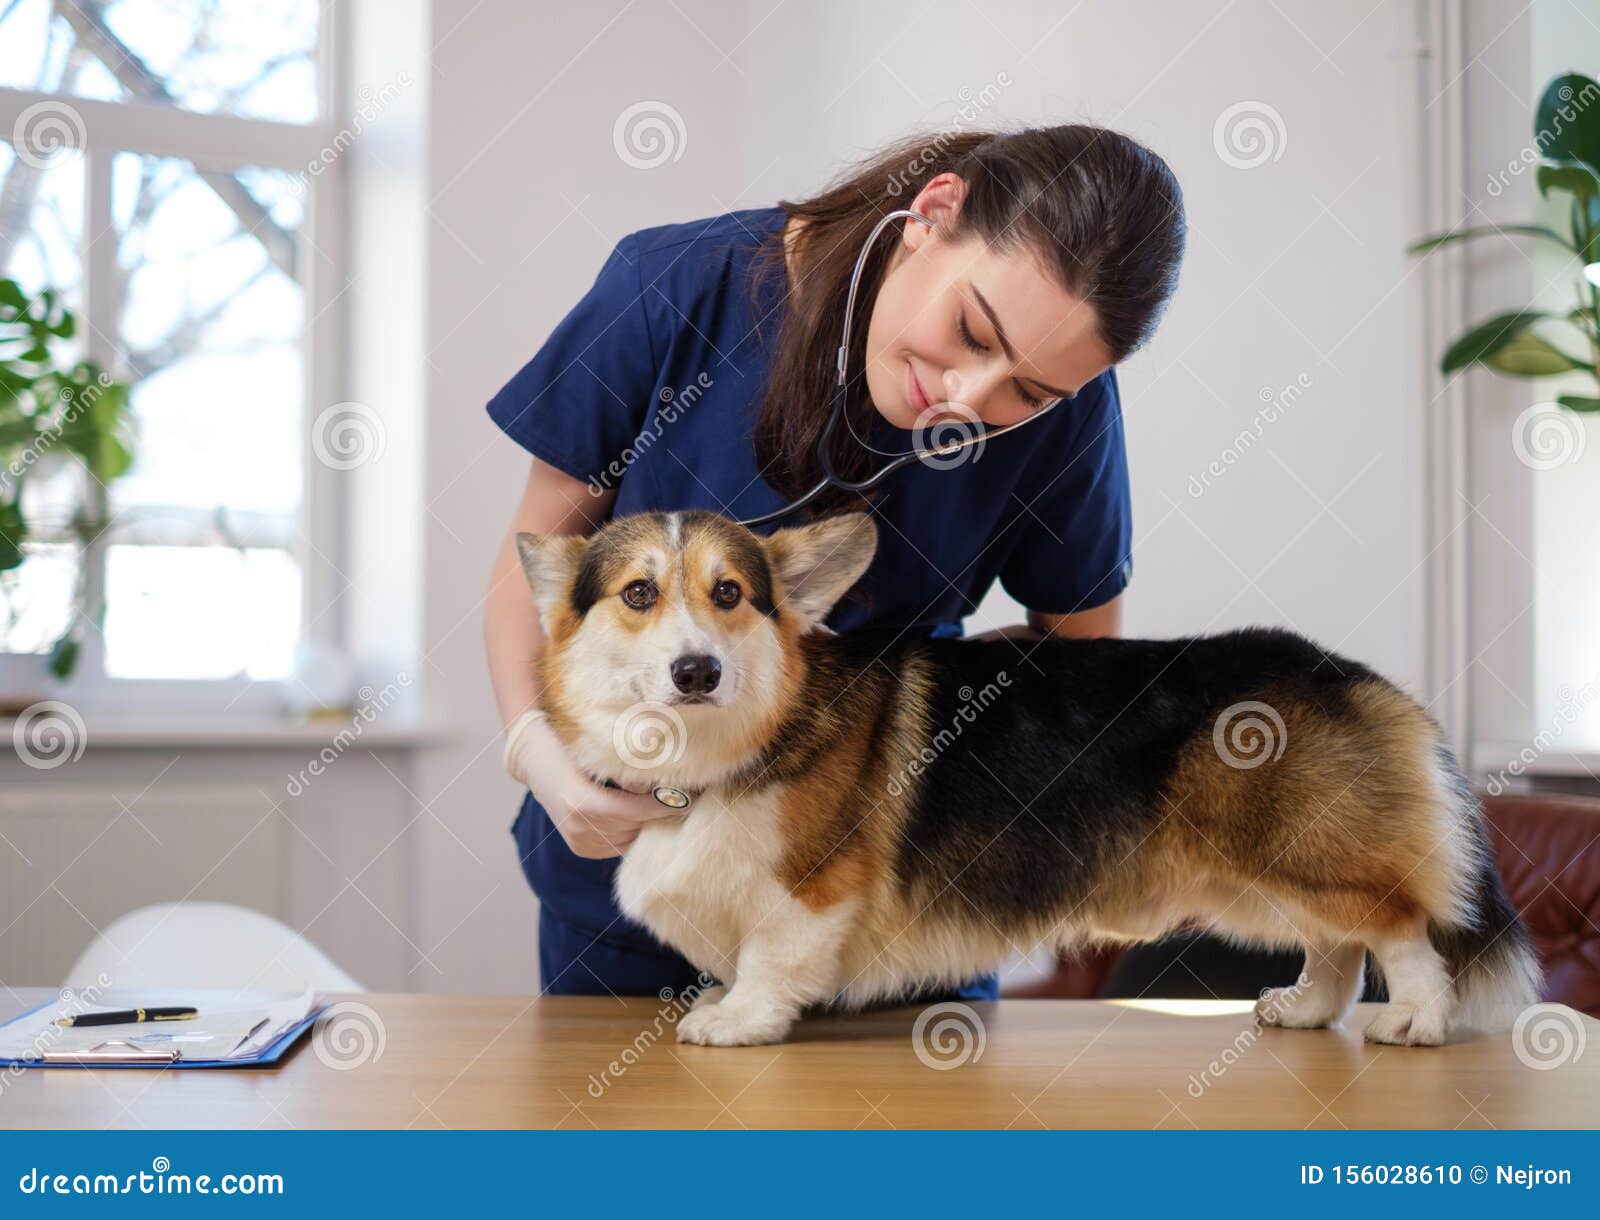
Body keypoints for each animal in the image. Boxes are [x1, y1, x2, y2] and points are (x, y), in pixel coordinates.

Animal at [512, 502, 1536, 1043]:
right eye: (639, 594)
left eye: (729, 594)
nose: (698, 671)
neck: (724, 749)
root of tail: (1352, 674)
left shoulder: (812, 891)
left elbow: (774, 958)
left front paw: (735, 1021)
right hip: (1262, 875)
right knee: (1338, 944)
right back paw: (1307, 1009)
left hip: (1296, 854)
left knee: (1396, 928)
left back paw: (1416, 1022)